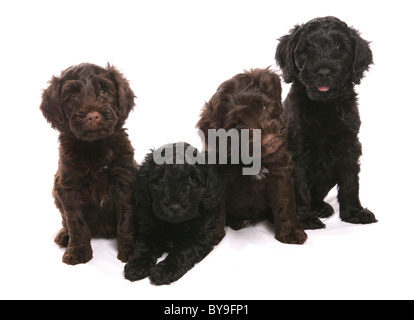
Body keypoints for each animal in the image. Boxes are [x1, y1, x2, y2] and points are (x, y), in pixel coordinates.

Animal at [40, 62, 137, 264]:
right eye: (71, 97)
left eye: (104, 90)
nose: (93, 116)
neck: (94, 146)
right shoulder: (68, 186)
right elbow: (76, 222)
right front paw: (77, 251)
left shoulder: (125, 182)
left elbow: (126, 219)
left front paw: (130, 251)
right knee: (65, 222)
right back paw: (64, 236)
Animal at [124, 142, 225, 284]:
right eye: (161, 179)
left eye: (192, 179)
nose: (175, 207)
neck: (173, 225)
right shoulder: (148, 230)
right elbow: (144, 246)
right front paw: (137, 265)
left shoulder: (200, 237)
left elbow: (183, 251)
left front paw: (165, 270)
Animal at [197, 69, 308, 245]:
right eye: (237, 127)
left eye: (263, 106)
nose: (268, 140)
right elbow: (215, 210)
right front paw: (213, 237)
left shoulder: (280, 172)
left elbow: (284, 203)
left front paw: (290, 232)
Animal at [276, 16, 376, 229]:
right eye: (306, 49)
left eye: (339, 48)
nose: (323, 72)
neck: (324, 106)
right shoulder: (296, 151)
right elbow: (299, 187)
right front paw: (304, 219)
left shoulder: (349, 146)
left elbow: (350, 182)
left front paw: (354, 213)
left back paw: (321, 207)